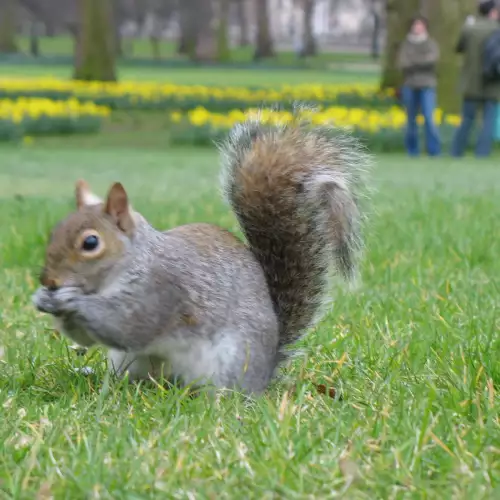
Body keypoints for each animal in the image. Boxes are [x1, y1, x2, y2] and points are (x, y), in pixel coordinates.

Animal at [32, 114, 372, 394]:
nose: (49, 280)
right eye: (56, 230)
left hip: (230, 360)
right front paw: (42, 299)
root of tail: (266, 372)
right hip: (128, 362)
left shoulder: (160, 290)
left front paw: (71, 301)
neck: (131, 262)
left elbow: (126, 325)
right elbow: (85, 338)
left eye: (91, 243)